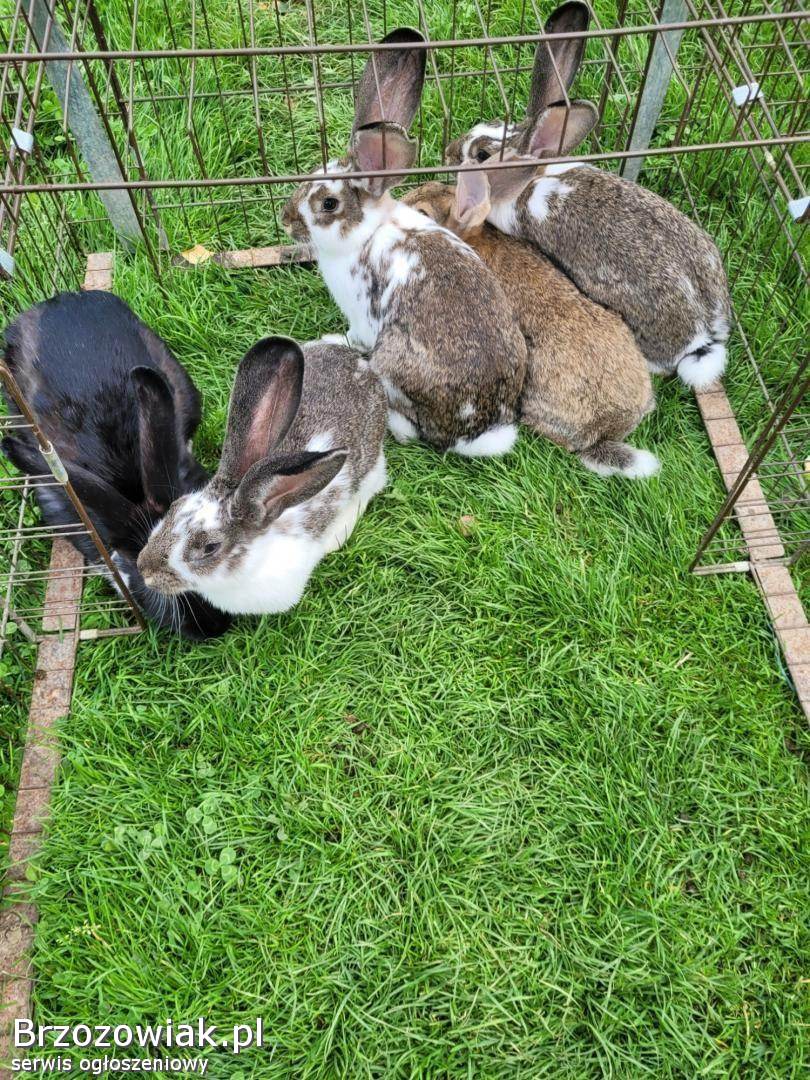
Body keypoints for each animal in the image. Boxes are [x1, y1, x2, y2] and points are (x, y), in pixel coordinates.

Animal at [281, 28, 527, 457]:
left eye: (328, 204)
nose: (285, 221)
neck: (367, 231)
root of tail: (474, 431)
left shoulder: (362, 315)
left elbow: (355, 334)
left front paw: (332, 338)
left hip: (392, 358)